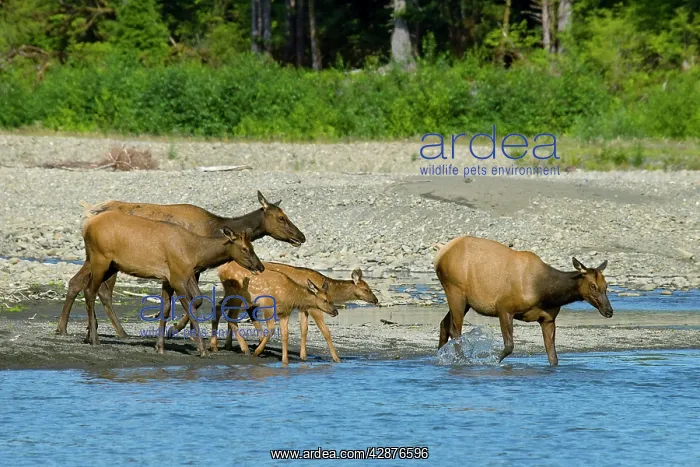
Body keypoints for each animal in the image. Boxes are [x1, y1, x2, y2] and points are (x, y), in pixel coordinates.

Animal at [56, 191, 304, 337]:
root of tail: (86, 216)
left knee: (77, 283)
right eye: (281, 217)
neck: (213, 229)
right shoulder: (189, 267)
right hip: (105, 259)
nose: (301, 236)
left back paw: (69, 327)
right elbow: (194, 300)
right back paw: (109, 331)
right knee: (98, 289)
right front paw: (174, 329)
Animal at [79, 210, 265, 357]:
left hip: (111, 265)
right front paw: (202, 349)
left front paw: (160, 346)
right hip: (99, 259)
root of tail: (87, 227)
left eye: (253, 247)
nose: (260, 267)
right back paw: (94, 339)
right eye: (244, 249)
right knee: (90, 291)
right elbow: (190, 305)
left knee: (91, 290)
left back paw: (89, 335)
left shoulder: (173, 278)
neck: (195, 254)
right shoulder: (177, 277)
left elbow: (173, 307)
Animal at [210, 264, 338, 364]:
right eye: (325, 300)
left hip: (230, 295)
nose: (335, 311)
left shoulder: (285, 313)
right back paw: (245, 349)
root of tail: (220, 270)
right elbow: (271, 329)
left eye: (332, 298)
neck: (291, 295)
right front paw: (257, 352)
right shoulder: (268, 305)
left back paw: (215, 346)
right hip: (237, 296)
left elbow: (285, 334)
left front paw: (285, 360)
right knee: (230, 316)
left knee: (217, 307)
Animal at [434, 236, 613, 366]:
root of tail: (441, 252)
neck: (544, 293)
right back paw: (462, 360)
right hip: (455, 290)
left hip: (465, 300)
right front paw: (494, 361)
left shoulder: (548, 319)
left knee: (444, 323)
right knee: (455, 330)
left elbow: (553, 358)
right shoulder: (504, 307)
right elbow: (509, 346)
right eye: (593, 286)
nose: (609, 311)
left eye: (606, 285)